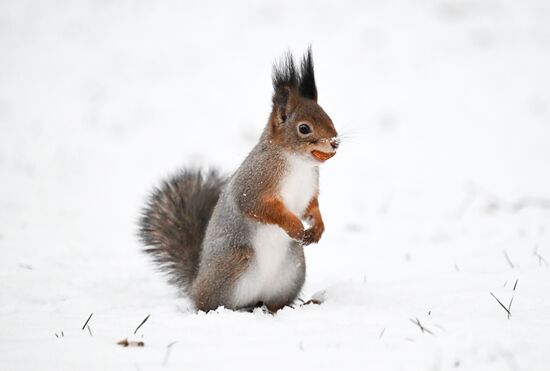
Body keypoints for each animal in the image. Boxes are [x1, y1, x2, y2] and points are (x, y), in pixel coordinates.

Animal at [139, 48, 340, 312]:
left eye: (328, 116)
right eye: (304, 128)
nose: (335, 142)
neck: (298, 164)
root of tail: (197, 282)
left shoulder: (309, 189)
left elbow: (312, 207)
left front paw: (317, 227)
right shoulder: (254, 183)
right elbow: (260, 207)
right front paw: (294, 225)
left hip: (293, 271)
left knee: (273, 302)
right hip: (236, 263)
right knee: (211, 303)